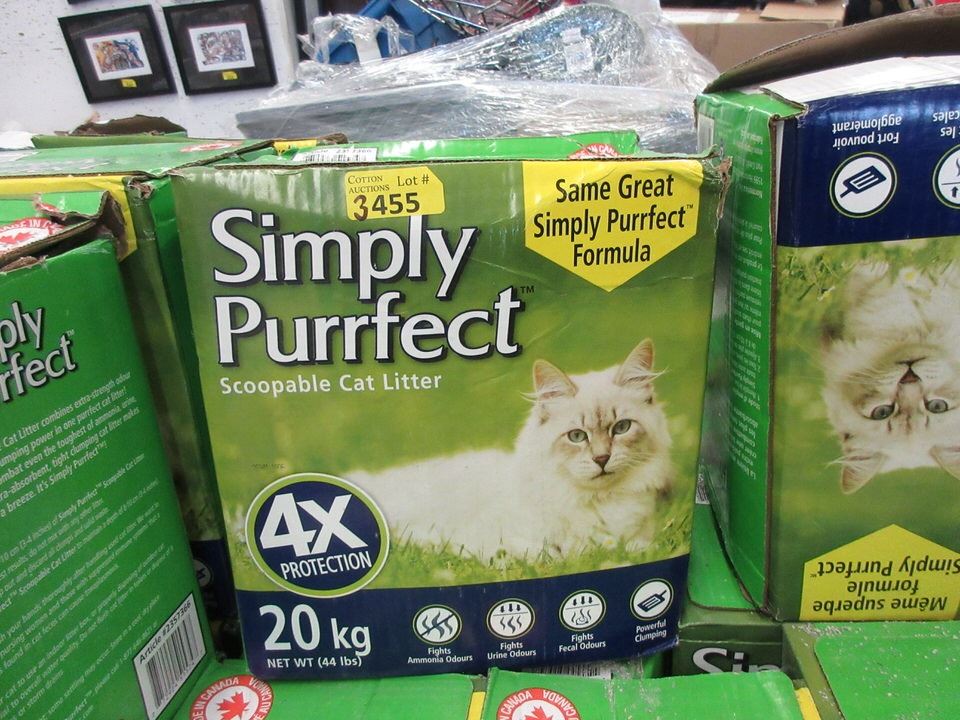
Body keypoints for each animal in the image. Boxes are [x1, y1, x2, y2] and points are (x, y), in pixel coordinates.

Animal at [347, 339, 674, 561]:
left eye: (621, 428)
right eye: (577, 436)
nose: (602, 459)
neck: (599, 501)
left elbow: (637, 547)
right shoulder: (502, 539)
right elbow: (547, 554)